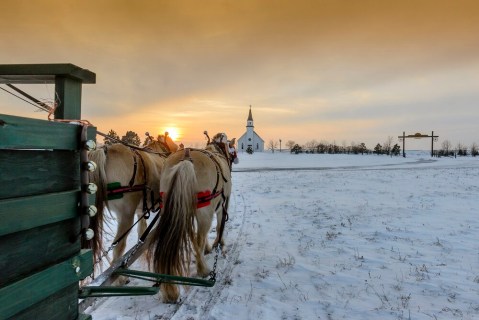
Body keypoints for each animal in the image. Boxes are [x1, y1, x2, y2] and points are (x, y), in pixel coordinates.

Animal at [87, 132, 179, 264]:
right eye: (171, 141)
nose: (178, 148)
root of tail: (106, 150)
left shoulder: (142, 210)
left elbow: (142, 230)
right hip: (126, 215)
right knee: (118, 247)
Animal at [148, 132, 238, 302]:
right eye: (232, 148)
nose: (235, 159)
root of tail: (186, 159)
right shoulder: (224, 204)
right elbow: (219, 226)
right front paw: (218, 243)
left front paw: (208, 248)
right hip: (204, 211)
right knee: (199, 236)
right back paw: (203, 269)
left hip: (176, 207)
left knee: (189, 235)